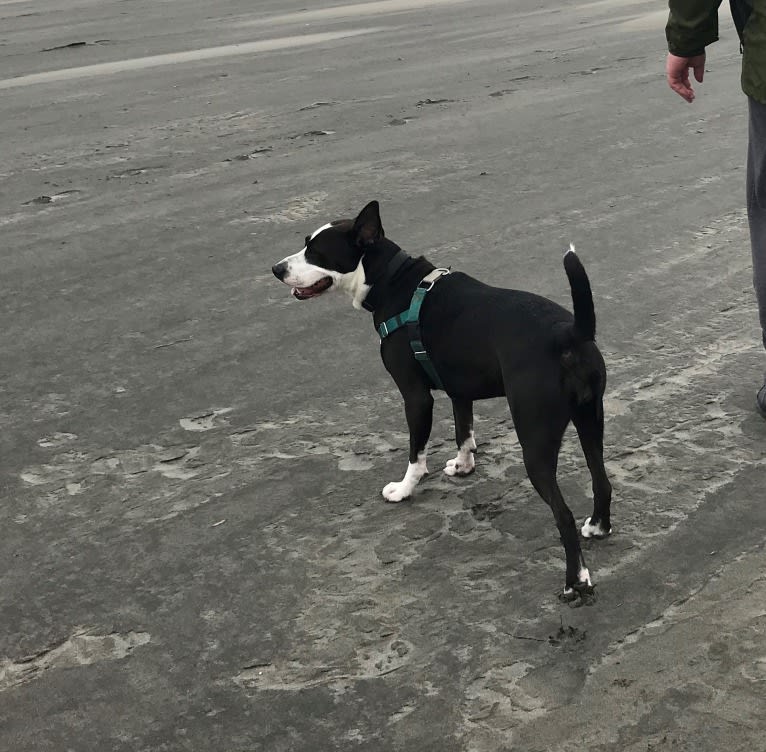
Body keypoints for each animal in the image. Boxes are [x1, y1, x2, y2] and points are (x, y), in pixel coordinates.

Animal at [272, 201, 616, 600]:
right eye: (305, 243)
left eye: (317, 252)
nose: (276, 269)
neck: (395, 283)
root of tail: (570, 333)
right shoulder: (459, 391)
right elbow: (463, 432)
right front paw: (464, 466)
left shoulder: (416, 398)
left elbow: (415, 453)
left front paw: (404, 489)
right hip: (590, 420)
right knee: (601, 480)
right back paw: (599, 526)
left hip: (536, 442)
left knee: (563, 514)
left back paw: (576, 581)